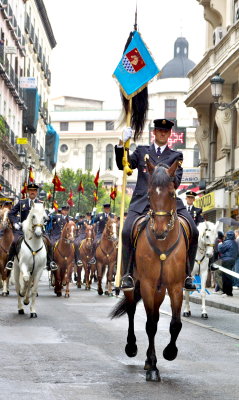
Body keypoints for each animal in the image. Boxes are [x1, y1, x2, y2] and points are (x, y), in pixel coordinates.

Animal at [111, 159, 190, 382]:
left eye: (172, 193)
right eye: (148, 195)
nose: (160, 230)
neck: (163, 244)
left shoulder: (175, 286)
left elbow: (175, 323)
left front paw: (169, 352)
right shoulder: (146, 284)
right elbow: (150, 325)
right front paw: (154, 367)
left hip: (160, 290)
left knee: (155, 313)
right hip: (134, 284)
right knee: (132, 311)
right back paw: (132, 347)